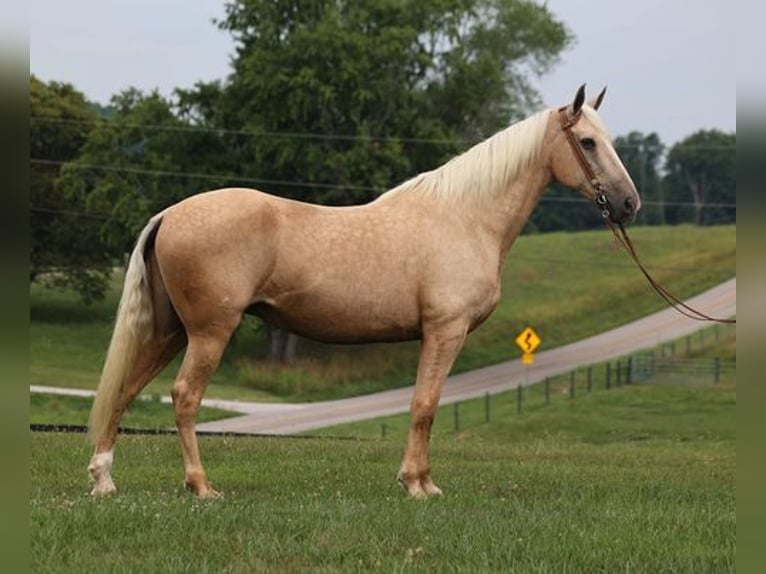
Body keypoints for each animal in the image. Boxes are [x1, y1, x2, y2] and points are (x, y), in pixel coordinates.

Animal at [88, 84, 640, 500]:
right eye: (587, 142)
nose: (628, 203)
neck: (465, 217)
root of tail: (170, 213)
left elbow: (424, 406)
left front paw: (419, 480)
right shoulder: (445, 331)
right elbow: (425, 406)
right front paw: (418, 485)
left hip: (171, 331)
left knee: (126, 388)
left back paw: (104, 479)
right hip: (209, 332)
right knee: (185, 397)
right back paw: (200, 486)